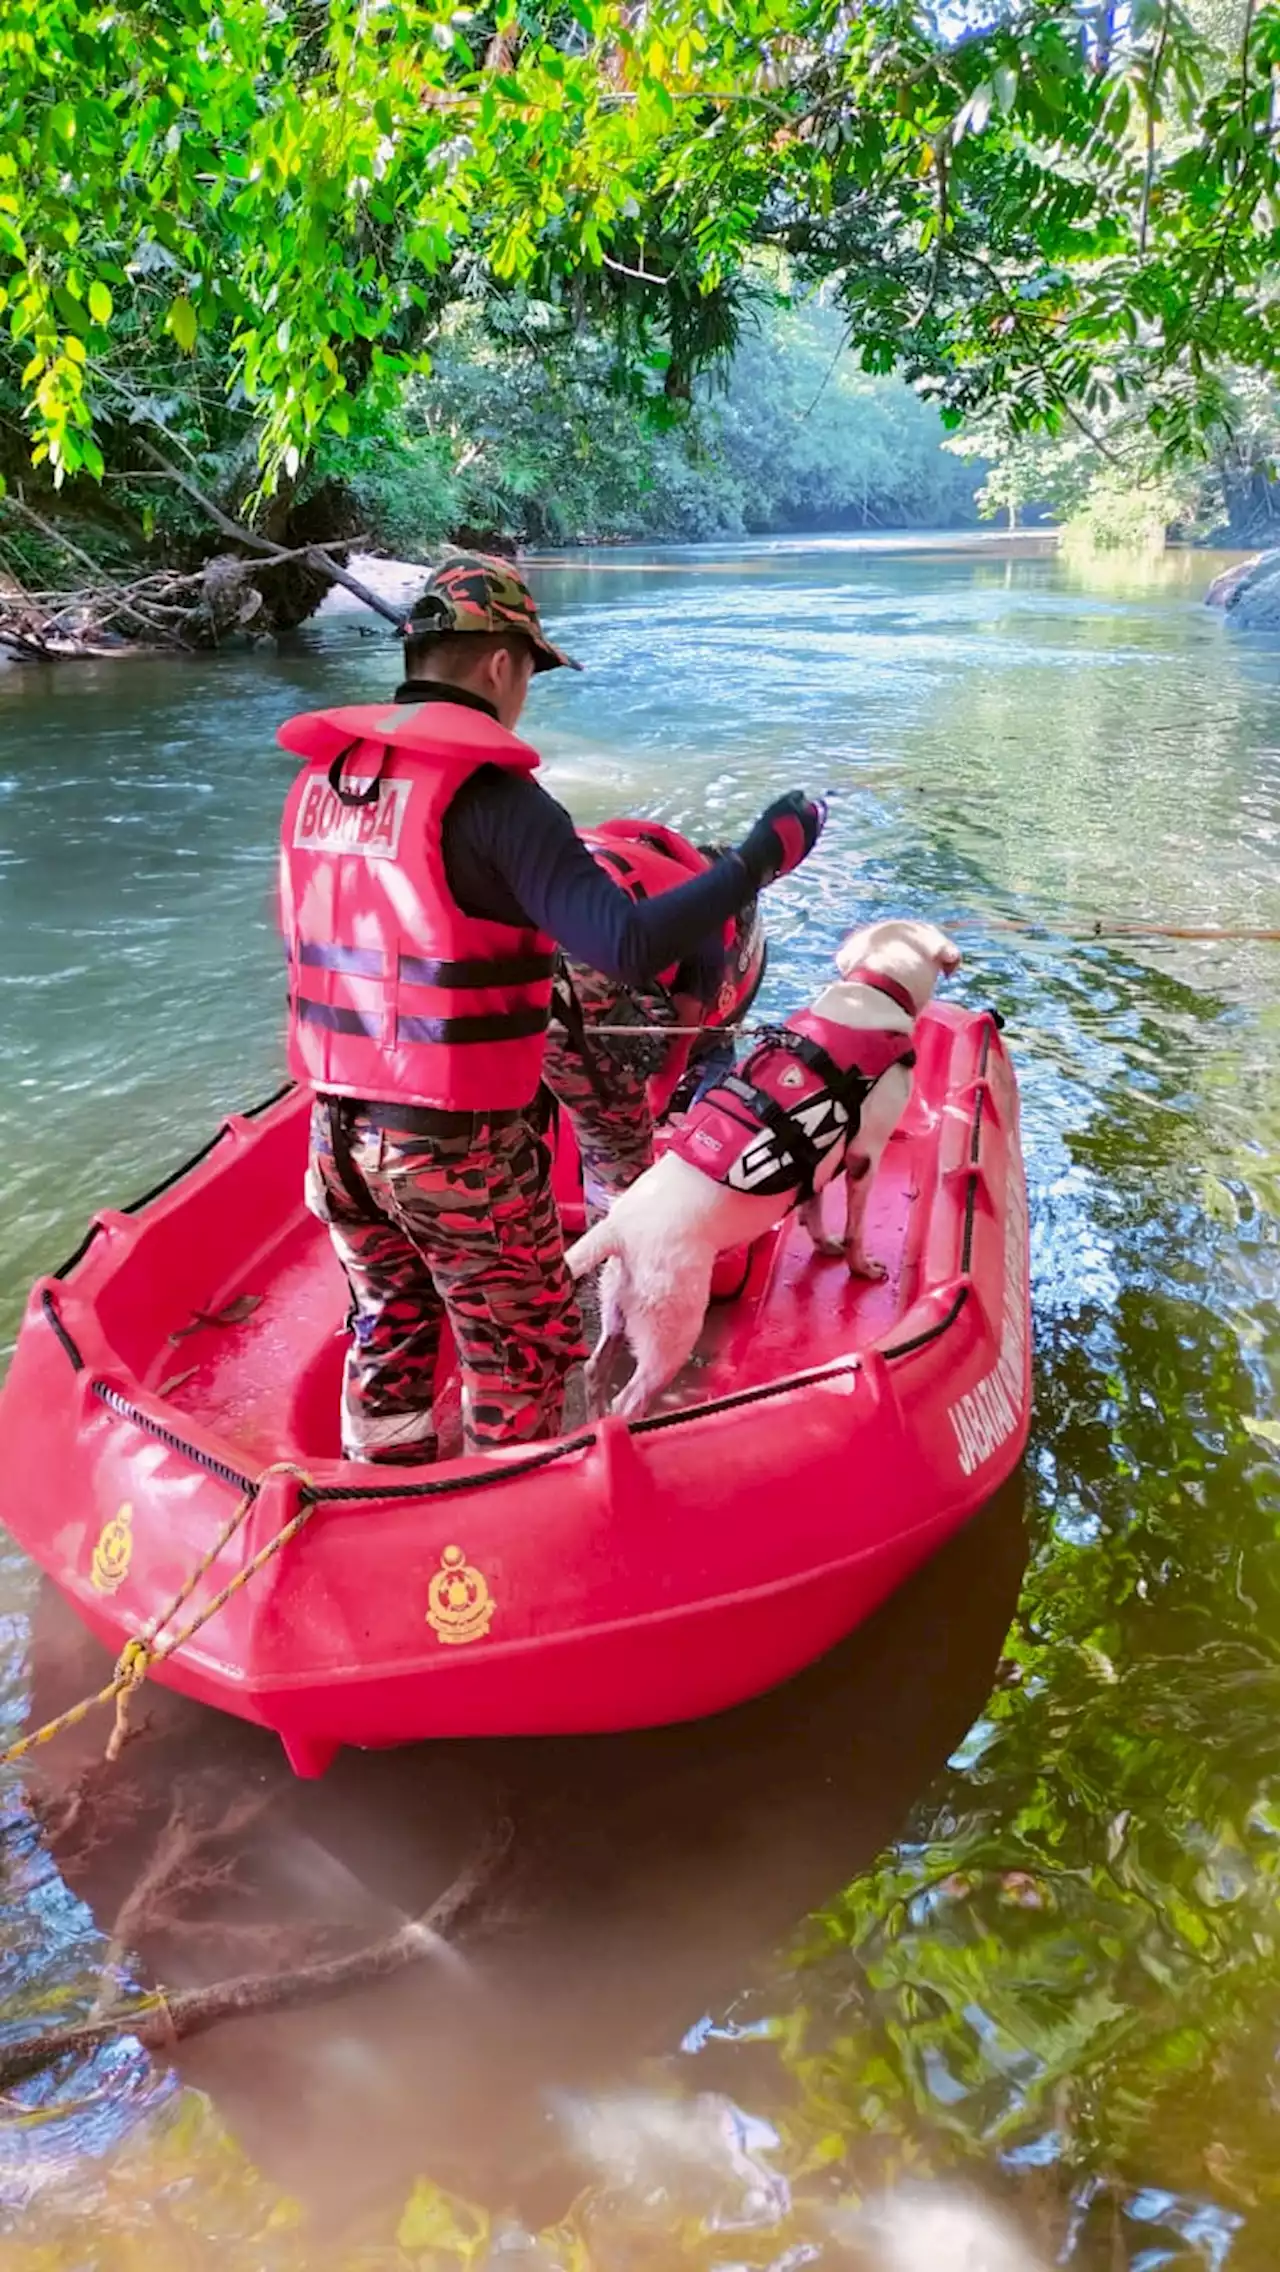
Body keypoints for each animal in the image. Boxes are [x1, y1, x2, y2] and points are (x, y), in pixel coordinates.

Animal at [568, 917, 963, 1417]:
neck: (872, 987)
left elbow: (814, 1207)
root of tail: (617, 1228)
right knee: (630, 1400)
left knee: (594, 1371)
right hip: (670, 1327)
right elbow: (856, 1228)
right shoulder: (864, 1157)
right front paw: (861, 1266)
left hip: (618, 1307)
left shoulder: (820, 1165)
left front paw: (824, 1244)